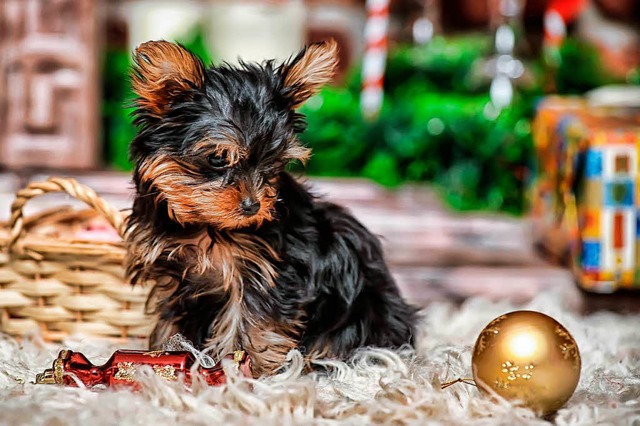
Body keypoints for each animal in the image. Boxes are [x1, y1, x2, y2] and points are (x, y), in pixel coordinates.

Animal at [125, 38, 418, 374]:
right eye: (218, 158)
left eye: (273, 164)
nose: (253, 207)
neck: (205, 227)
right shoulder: (175, 277)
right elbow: (171, 320)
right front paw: (166, 352)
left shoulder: (267, 275)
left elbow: (251, 324)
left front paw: (242, 369)